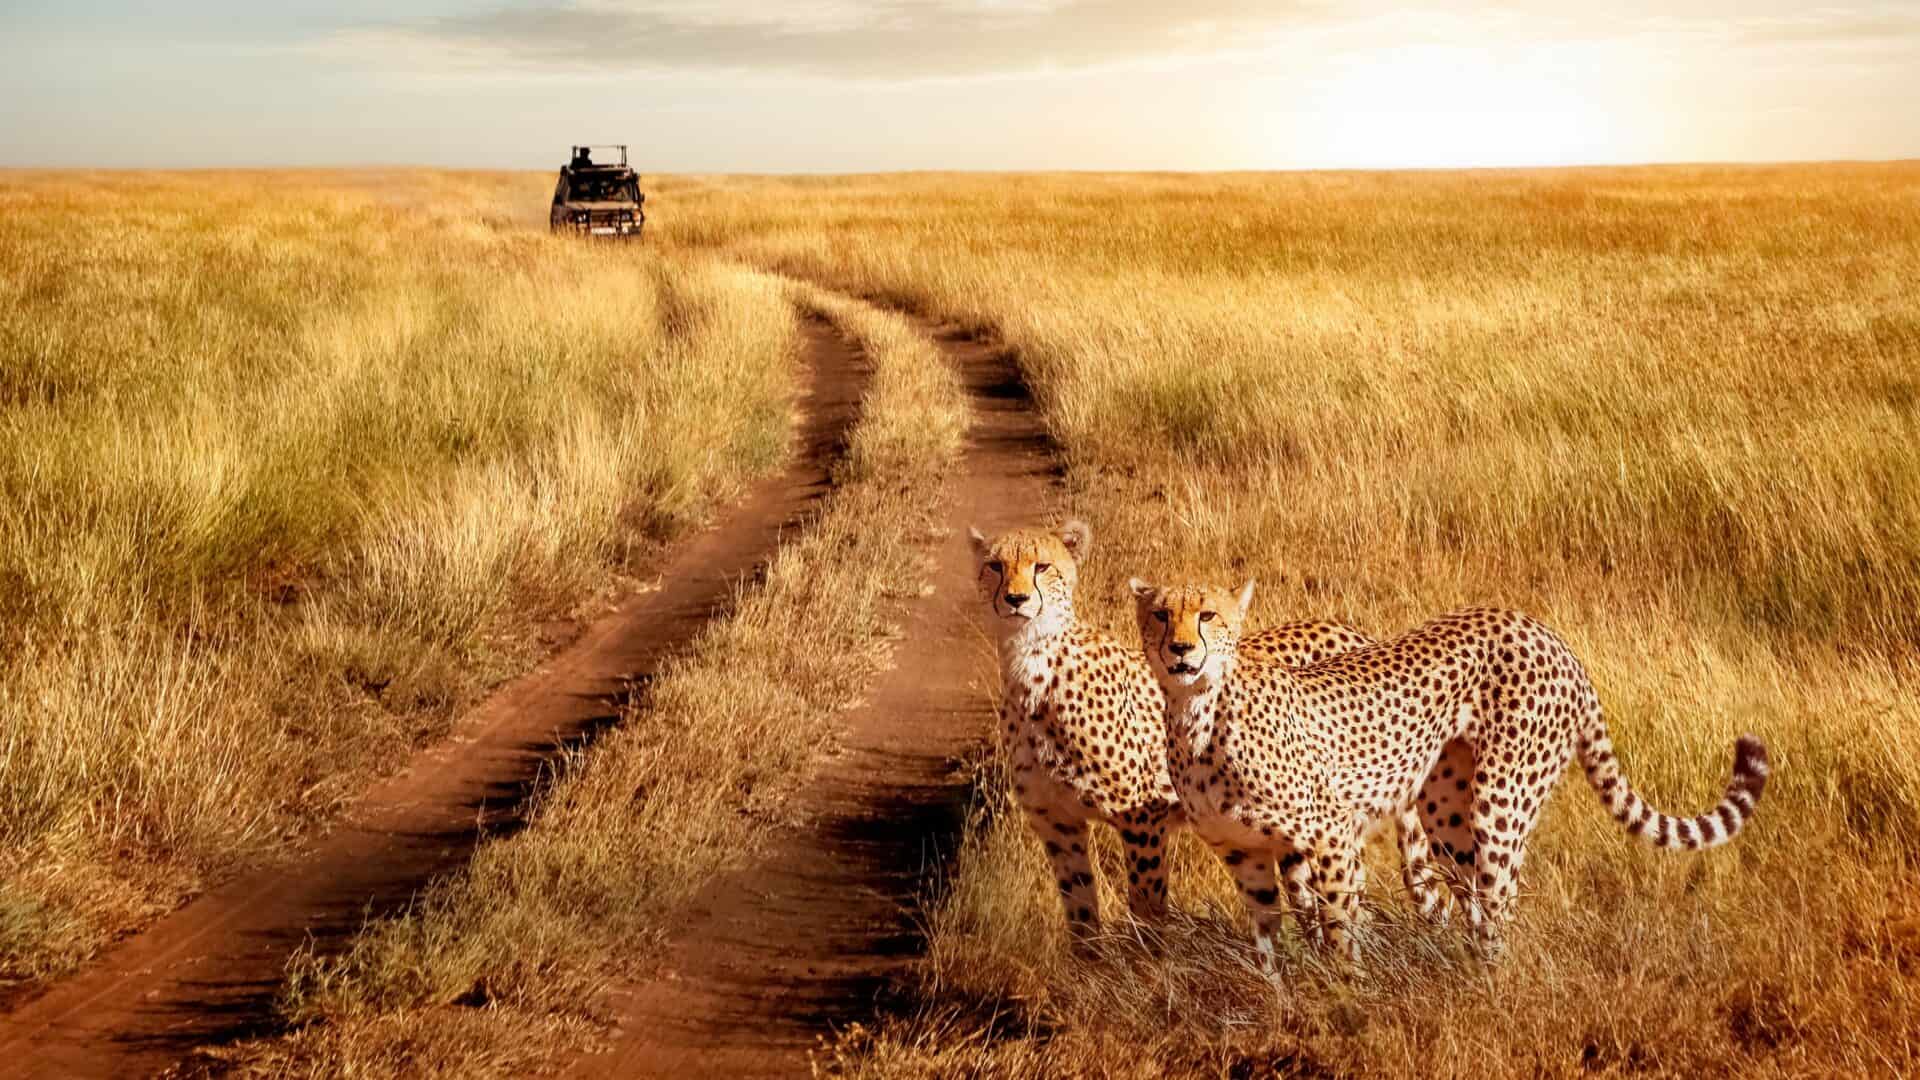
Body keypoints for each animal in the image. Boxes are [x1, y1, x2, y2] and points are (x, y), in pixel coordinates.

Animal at [969, 521, 1444, 934]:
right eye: (994, 566)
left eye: (1041, 566)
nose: (1015, 599)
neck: (1031, 667)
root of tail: (1347, 630)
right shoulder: (1057, 824)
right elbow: (1081, 919)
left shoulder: (1141, 817)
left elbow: (1146, 907)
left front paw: (1150, 967)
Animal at [1128, 577, 1769, 967]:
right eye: (1160, 615)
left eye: (1207, 614)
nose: (1181, 650)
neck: (1197, 714)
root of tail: (1545, 633)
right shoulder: (1245, 853)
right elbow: (1269, 943)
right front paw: (1286, 1002)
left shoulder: (1333, 835)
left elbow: (1339, 927)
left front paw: (1347, 998)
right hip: (1443, 810)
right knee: (1475, 893)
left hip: (1501, 799)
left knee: (1500, 899)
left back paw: (1489, 984)